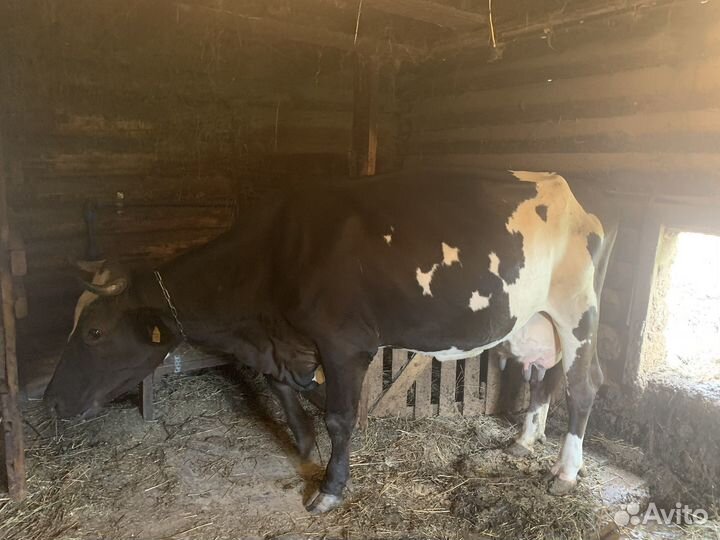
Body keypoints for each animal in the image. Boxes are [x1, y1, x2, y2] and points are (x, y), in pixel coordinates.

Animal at [45, 168, 617, 513]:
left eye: (94, 331)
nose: (50, 399)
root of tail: (574, 195)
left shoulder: (344, 344)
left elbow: (340, 417)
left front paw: (329, 488)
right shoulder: (279, 343)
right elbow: (280, 388)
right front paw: (303, 445)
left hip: (577, 312)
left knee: (585, 383)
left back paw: (565, 472)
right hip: (531, 320)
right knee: (545, 373)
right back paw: (523, 441)